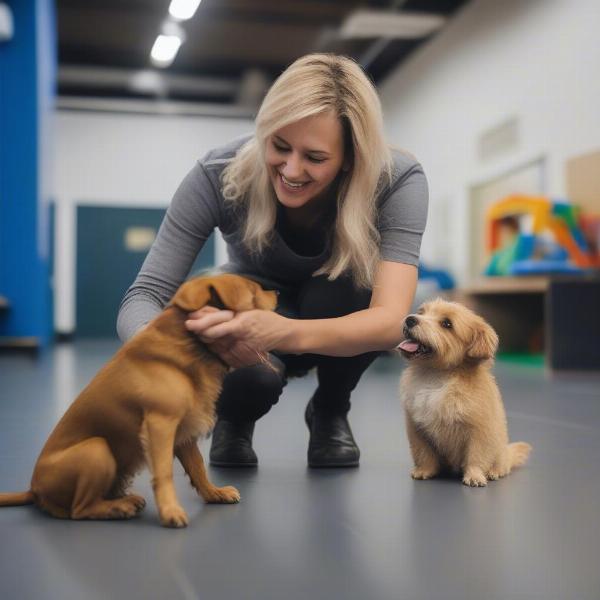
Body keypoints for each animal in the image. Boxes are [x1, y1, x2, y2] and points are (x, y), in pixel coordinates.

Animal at [0, 274, 276, 528]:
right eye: (254, 290)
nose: (277, 292)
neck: (190, 345)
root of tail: (34, 489)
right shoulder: (160, 425)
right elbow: (164, 472)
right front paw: (170, 511)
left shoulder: (183, 433)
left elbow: (197, 466)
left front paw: (213, 493)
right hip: (96, 449)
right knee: (79, 509)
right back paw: (117, 508)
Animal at [398, 298, 528, 486]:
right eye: (422, 312)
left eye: (447, 323)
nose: (410, 319)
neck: (435, 376)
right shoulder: (417, 430)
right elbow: (423, 453)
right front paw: (424, 471)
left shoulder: (479, 431)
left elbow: (476, 456)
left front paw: (474, 476)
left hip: (500, 451)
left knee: (501, 464)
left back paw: (494, 472)